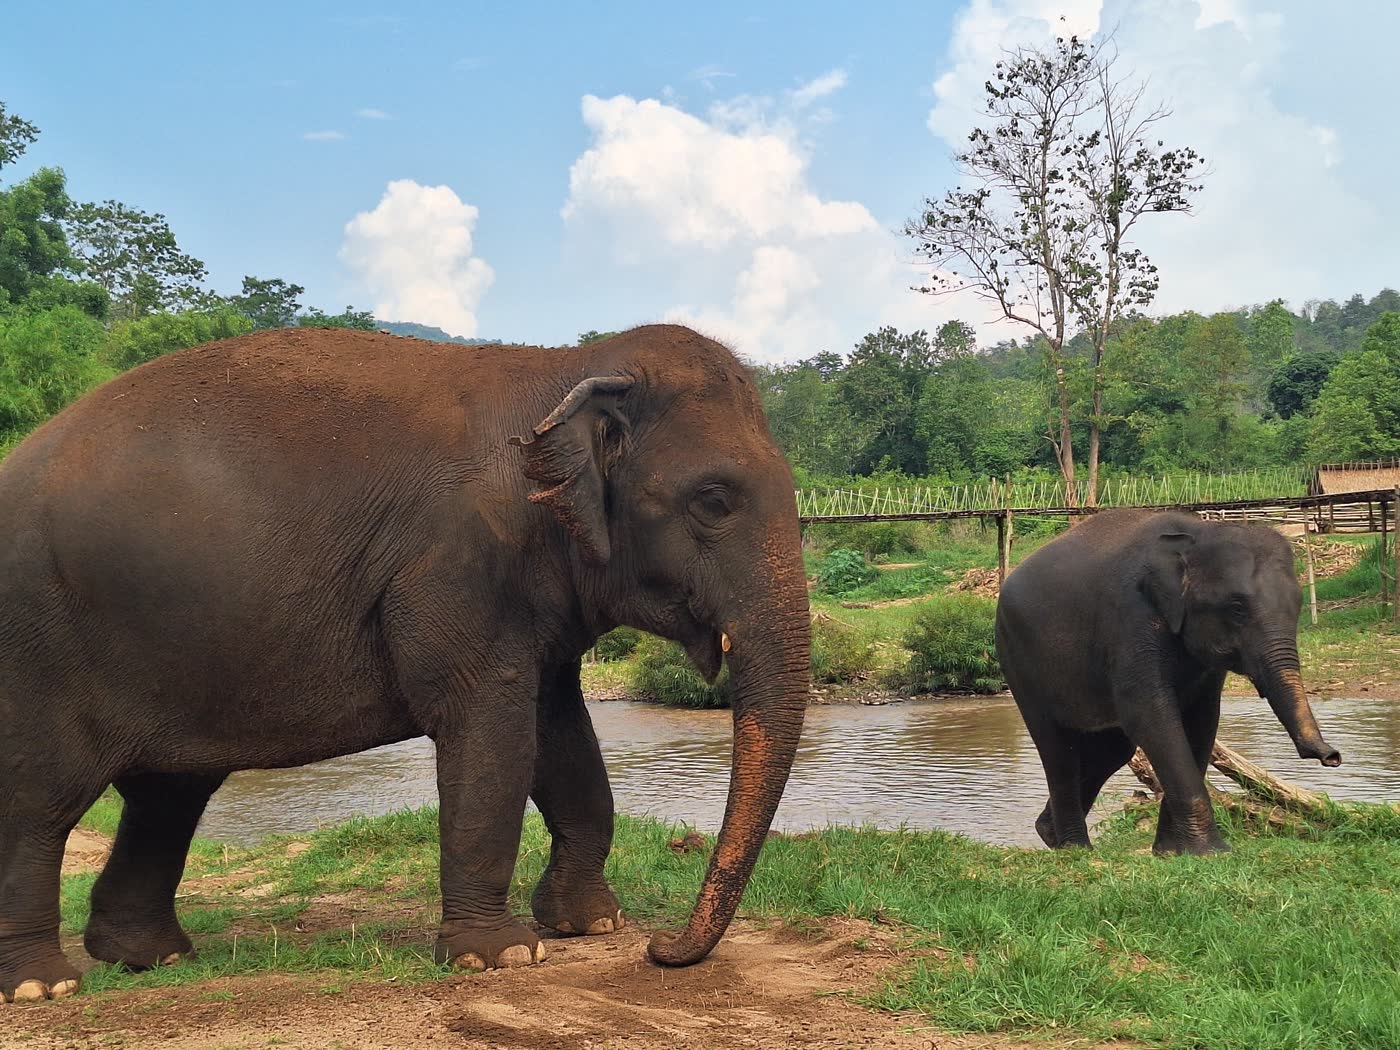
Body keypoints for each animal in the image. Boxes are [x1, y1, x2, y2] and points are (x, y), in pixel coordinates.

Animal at [0, 324, 811, 1003]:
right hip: (37, 643)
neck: (566, 368)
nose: (663, 947)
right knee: (42, 803)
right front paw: (503, 957)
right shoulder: (455, 568)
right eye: (713, 499)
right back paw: (45, 988)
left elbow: (561, 734)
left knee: (166, 795)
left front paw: (589, 926)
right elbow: (491, 731)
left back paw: (150, 958)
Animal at [995, 509, 1341, 856]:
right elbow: (1150, 716)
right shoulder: (1130, 619)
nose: (1331, 757)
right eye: (1237, 608)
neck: (1197, 532)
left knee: (1113, 748)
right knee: (1057, 747)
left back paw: (1048, 833)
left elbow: (1203, 721)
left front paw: (1172, 853)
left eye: (1297, 605)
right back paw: (1075, 849)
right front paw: (1211, 853)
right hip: (1018, 660)